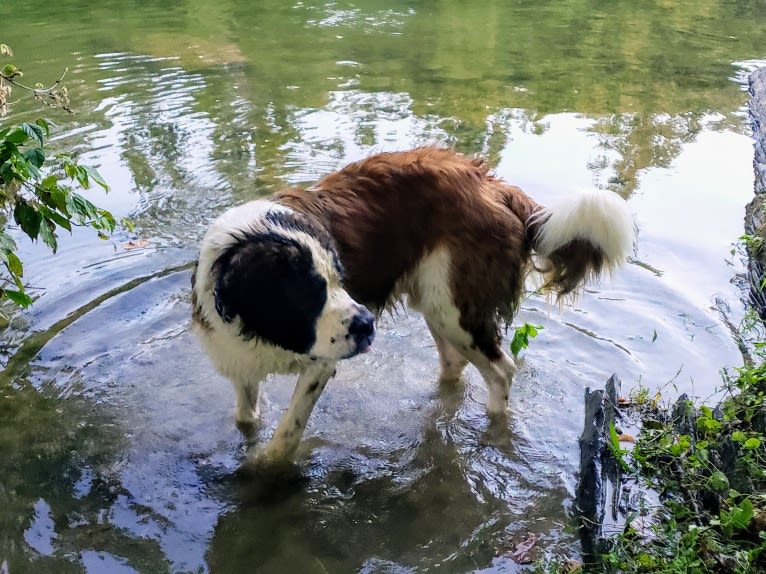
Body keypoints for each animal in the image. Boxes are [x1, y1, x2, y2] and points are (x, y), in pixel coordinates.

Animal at [192, 146, 636, 466]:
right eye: (310, 289)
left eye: (340, 279)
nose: (367, 325)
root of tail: (490, 183)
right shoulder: (238, 356)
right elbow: (245, 415)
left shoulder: (321, 362)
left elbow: (288, 429)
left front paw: (262, 467)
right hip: (436, 302)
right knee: (455, 364)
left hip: (455, 307)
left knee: (502, 370)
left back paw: (493, 426)